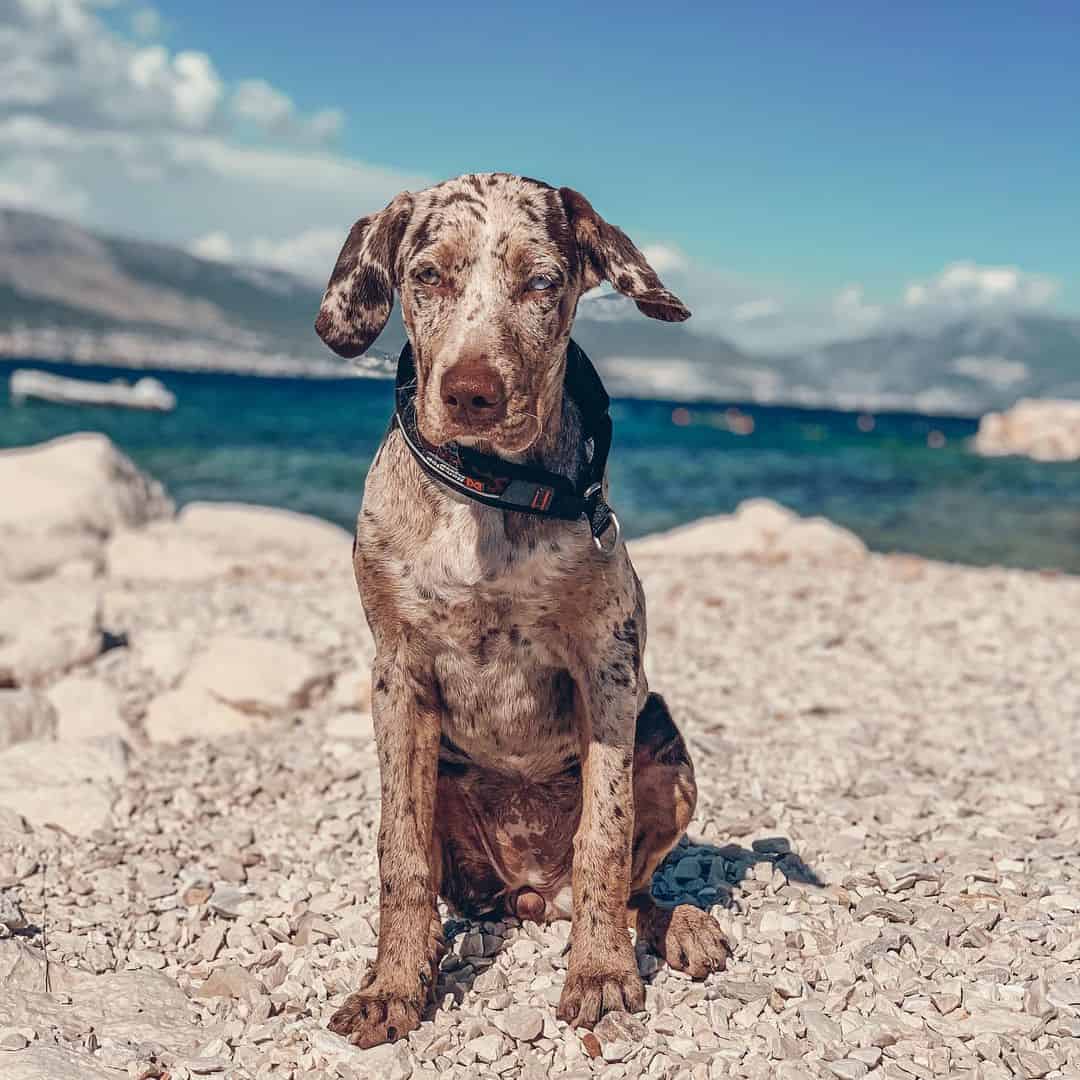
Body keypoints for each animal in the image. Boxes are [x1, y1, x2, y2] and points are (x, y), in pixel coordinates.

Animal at [315, 174, 730, 1045]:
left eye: (541, 282)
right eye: (427, 276)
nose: (471, 393)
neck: (490, 492)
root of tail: (539, 891)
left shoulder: (609, 670)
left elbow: (604, 835)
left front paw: (600, 974)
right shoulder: (397, 674)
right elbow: (400, 853)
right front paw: (393, 986)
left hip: (665, 739)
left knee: (633, 884)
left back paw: (677, 926)